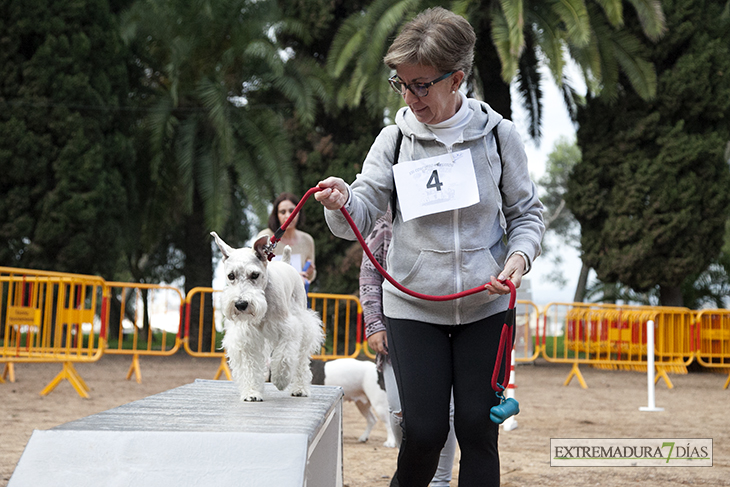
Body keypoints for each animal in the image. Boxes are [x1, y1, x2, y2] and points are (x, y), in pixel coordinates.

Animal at [210, 233, 324, 404]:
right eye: (231, 275)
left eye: (254, 274)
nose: (241, 304)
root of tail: (286, 263)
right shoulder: (246, 338)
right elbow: (249, 367)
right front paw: (252, 392)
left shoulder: (288, 329)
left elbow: (283, 357)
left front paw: (280, 380)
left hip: (304, 325)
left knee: (301, 361)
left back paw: (300, 389)